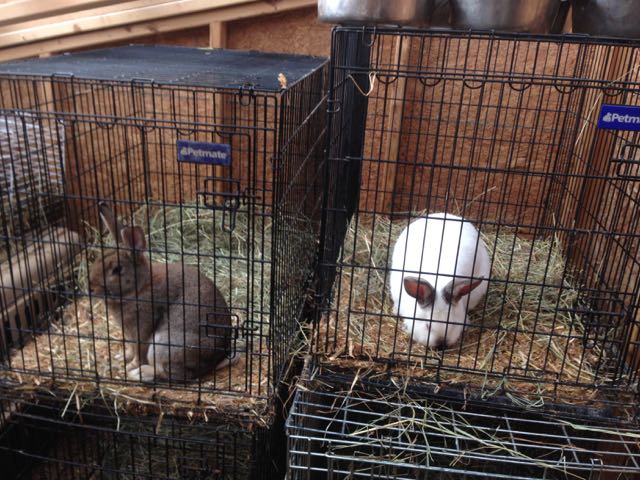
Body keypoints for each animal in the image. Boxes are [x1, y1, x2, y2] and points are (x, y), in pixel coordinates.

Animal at [87, 202, 232, 382]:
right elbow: (130, 348)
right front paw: (121, 357)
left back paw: (139, 373)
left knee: (168, 372)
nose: (90, 287)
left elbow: (138, 351)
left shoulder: (141, 331)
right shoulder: (128, 333)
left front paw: (130, 366)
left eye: (117, 269)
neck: (139, 288)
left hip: (163, 344)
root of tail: (216, 360)